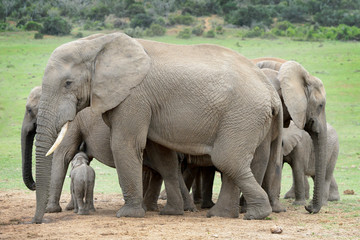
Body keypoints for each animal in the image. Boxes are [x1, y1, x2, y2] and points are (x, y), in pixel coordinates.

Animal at [21, 86, 197, 216]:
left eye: (29, 110)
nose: (34, 185)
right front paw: (68, 208)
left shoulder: (73, 120)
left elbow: (63, 155)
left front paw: (51, 210)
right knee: (166, 168)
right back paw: (182, 208)